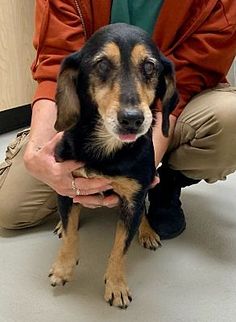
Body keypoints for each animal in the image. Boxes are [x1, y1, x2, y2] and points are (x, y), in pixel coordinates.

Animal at [48, 23, 178, 310]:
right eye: (102, 64)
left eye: (150, 66)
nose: (132, 119)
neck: (106, 148)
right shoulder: (65, 183)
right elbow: (71, 233)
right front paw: (63, 268)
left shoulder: (133, 198)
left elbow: (120, 248)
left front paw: (116, 285)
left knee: (143, 213)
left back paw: (147, 231)